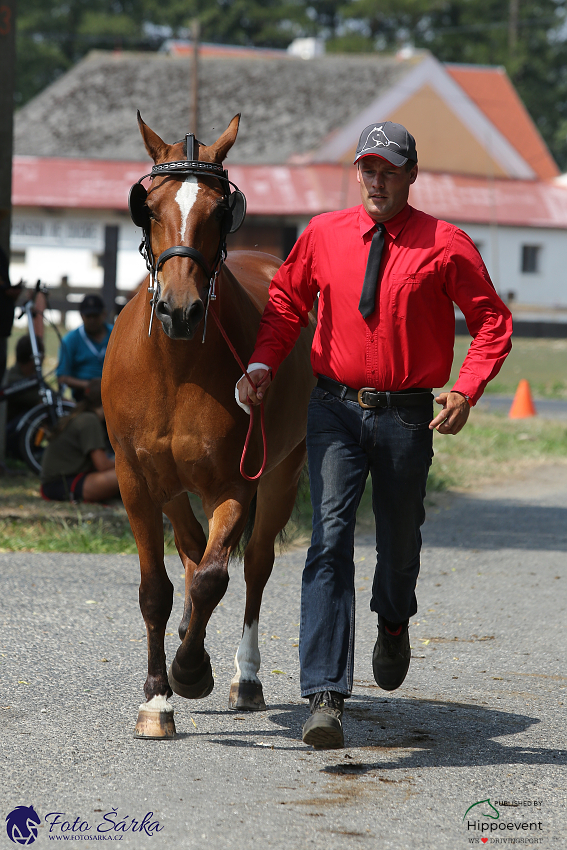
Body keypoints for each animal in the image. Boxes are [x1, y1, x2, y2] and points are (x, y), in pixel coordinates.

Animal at [102, 112, 316, 736]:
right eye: (148, 206)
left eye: (223, 211)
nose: (180, 310)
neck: (176, 367)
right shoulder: (136, 481)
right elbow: (157, 588)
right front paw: (157, 696)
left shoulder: (237, 483)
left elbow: (214, 578)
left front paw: (191, 669)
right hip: (172, 487)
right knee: (193, 546)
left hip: (281, 476)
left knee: (252, 568)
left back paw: (244, 675)